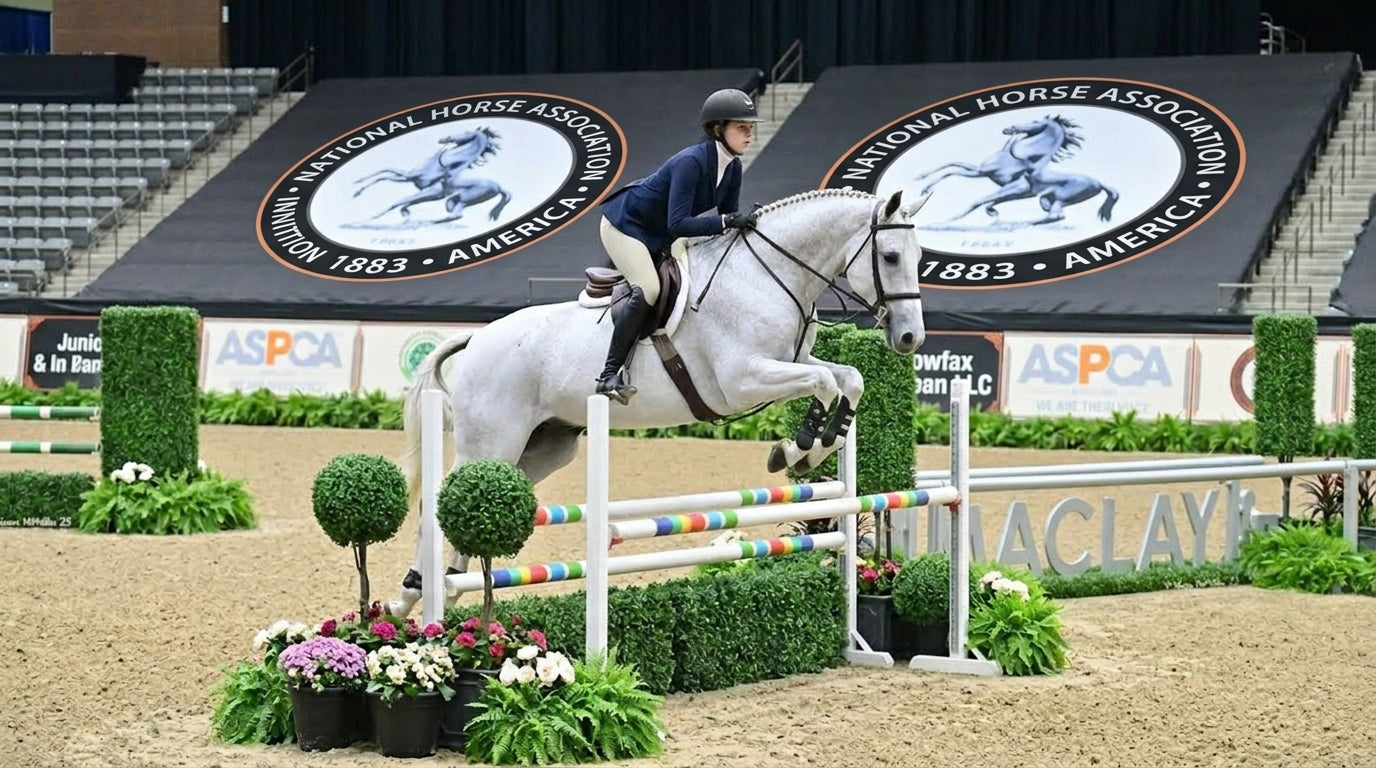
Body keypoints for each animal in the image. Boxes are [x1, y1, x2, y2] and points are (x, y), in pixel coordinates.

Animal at [383, 187, 933, 618]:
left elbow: (848, 379)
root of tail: (476, 339)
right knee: (437, 509)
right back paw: (412, 597)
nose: (910, 339)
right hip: (492, 440)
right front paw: (797, 449)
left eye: (918, 257)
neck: (768, 276)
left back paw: (437, 594)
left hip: (542, 448)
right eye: (890, 257)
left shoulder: (790, 363)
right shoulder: (742, 380)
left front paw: (817, 444)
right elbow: (822, 382)